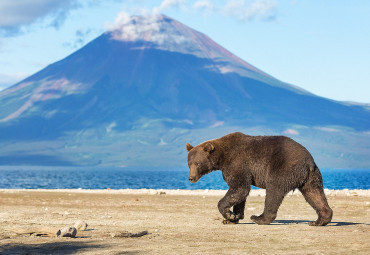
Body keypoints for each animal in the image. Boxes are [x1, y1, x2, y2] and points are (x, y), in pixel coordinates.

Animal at [186, 132, 334, 226]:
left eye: (197, 163)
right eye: (189, 163)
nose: (191, 178)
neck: (222, 158)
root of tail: (308, 161)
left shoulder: (238, 163)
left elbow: (239, 188)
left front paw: (228, 215)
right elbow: (239, 194)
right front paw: (233, 217)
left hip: (283, 168)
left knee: (274, 191)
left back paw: (259, 218)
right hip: (311, 177)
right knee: (314, 194)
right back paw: (319, 220)